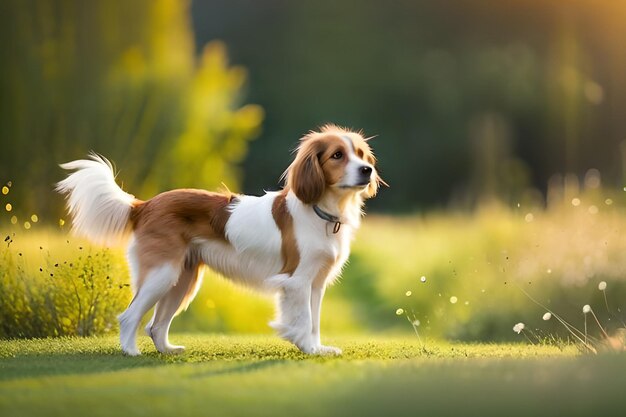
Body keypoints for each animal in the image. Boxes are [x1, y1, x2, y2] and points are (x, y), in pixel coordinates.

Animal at [56, 124, 380, 354]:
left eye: (361, 155)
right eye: (337, 155)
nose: (368, 170)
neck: (319, 212)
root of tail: (144, 205)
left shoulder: (316, 284)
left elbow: (314, 321)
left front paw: (316, 347)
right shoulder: (296, 281)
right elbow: (303, 320)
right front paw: (308, 349)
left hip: (182, 280)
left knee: (156, 325)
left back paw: (167, 350)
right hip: (163, 274)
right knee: (129, 316)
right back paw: (131, 352)